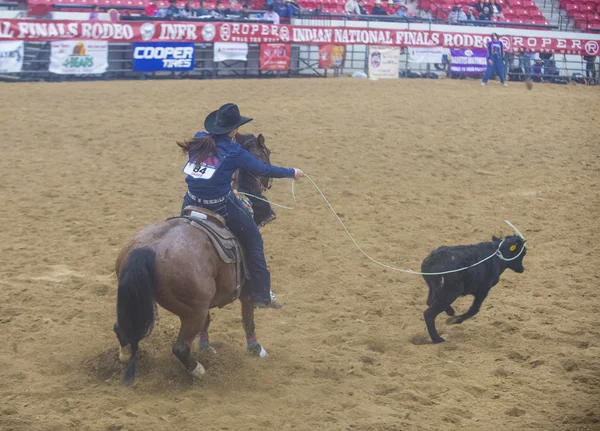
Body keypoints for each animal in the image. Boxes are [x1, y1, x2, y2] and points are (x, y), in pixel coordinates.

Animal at [114, 133, 274, 386]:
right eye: (266, 153)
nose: (267, 183)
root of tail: (148, 249)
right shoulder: (247, 289)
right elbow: (248, 317)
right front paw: (256, 349)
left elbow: (208, 324)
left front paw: (206, 347)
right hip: (192, 311)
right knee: (180, 348)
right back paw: (198, 371)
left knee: (122, 328)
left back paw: (125, 355)